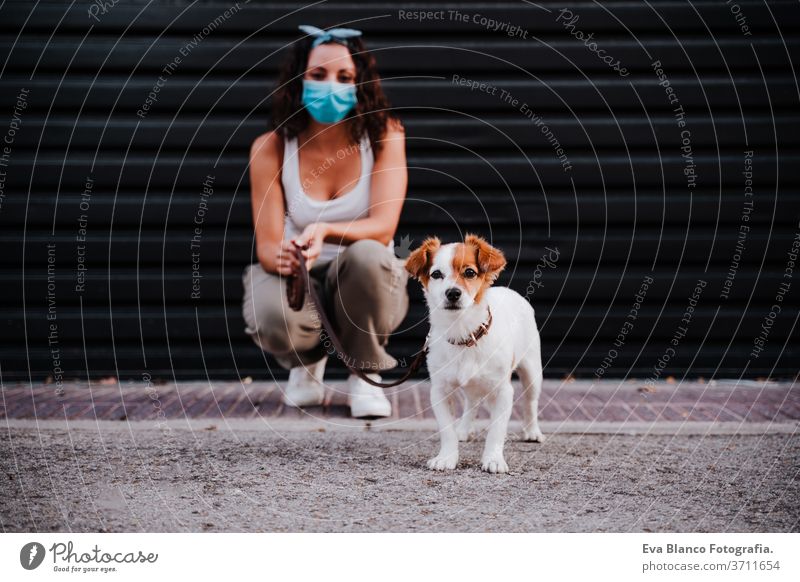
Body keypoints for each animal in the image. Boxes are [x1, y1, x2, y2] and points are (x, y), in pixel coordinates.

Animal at [406, 234, 544, 474]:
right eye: (436, 274)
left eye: (470, 272)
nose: (453, 293)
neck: (464, 334)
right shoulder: (440, 391)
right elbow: (446, 430)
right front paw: (447, 457)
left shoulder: (503, 391)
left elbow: (496, 431)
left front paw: (494, 459)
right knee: (471, 403)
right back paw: (464, 429)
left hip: (532, 371)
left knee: (530, 402)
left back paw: (532, 431)